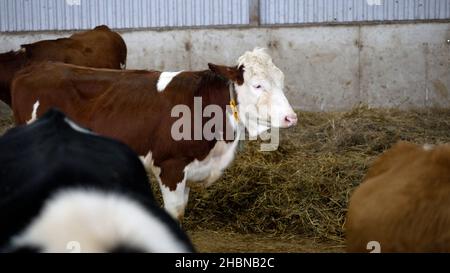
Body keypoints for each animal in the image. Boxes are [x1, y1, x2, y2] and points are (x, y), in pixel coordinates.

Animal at [11, 47, 298, 220]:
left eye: (282, 82)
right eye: (257, 85)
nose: (291, 117)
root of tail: (37, 68)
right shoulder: (170, 166)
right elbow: (174, 213)